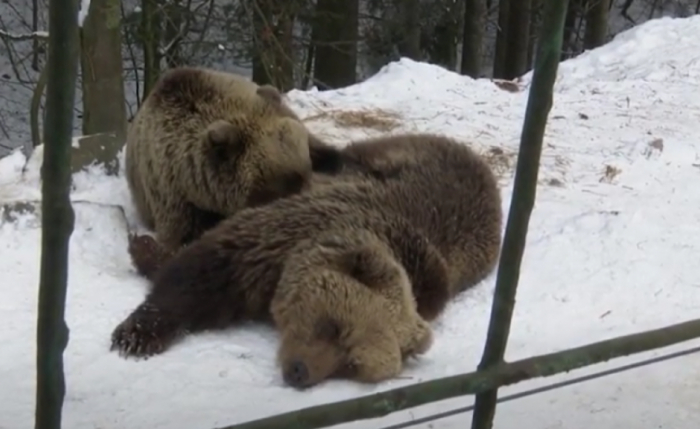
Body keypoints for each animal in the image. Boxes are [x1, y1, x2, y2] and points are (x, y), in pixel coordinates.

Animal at [110, 134, 504, 388]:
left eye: (351, 364)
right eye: (333, 326)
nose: (300, 372)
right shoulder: (280, 237)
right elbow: (198, 275)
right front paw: (136, 334)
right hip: (390, 158)